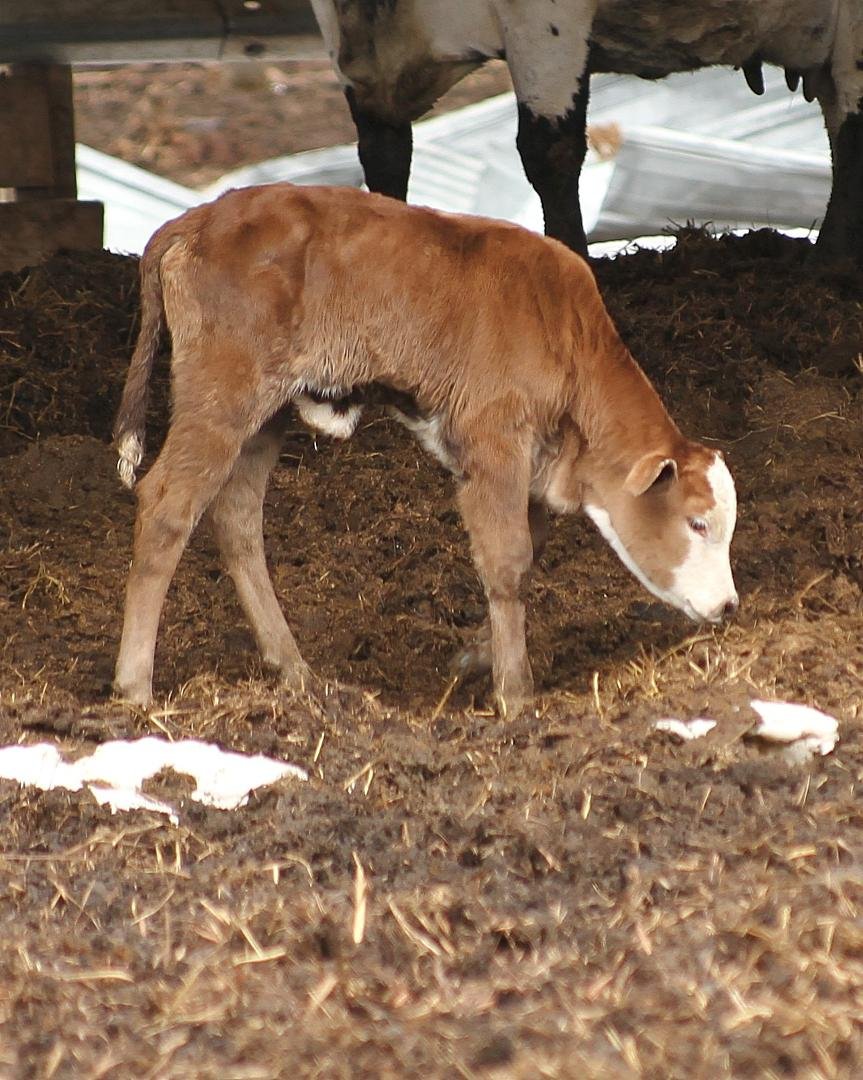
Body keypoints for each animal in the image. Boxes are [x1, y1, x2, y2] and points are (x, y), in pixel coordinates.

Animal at [112, 184, 738, 717]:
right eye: (698, 522)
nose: (730, 606)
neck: (565, 334)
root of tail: (202, 216)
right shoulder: (494, 446)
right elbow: (509, 559)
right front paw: (516, 695)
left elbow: (526, 551)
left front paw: (476, 658)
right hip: (222, 393)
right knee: (167, 504)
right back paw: (134, 685)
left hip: (267, 416)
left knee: (237, 518)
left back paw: (296, 671)